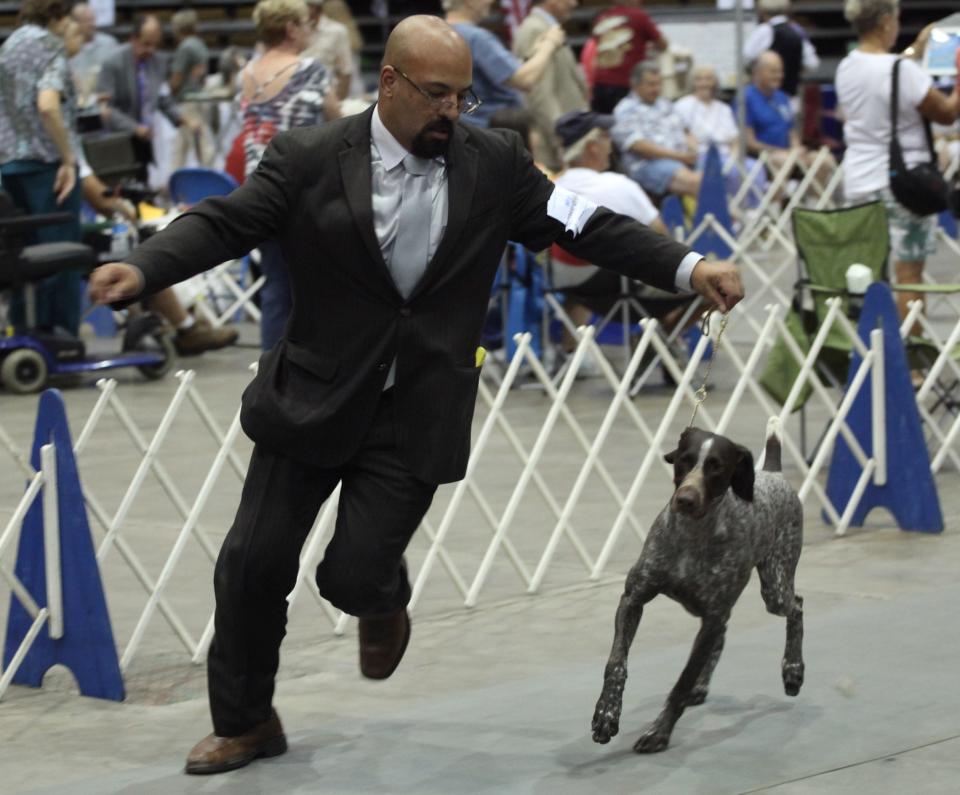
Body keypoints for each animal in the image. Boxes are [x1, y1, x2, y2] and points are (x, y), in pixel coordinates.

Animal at [592, 420, 804, 756]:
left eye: (716, 467)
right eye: (685, 460)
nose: (686, 499)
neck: (691, 535)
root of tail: (774, 472)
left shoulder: (712, 616)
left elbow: (681, 682)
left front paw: (659, 732)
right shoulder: (633, 599)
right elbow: (616, 664)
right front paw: (606, 714)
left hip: (775, 585)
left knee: (796, 606)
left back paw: (793, 669)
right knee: (725, 634)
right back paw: (703, 685)